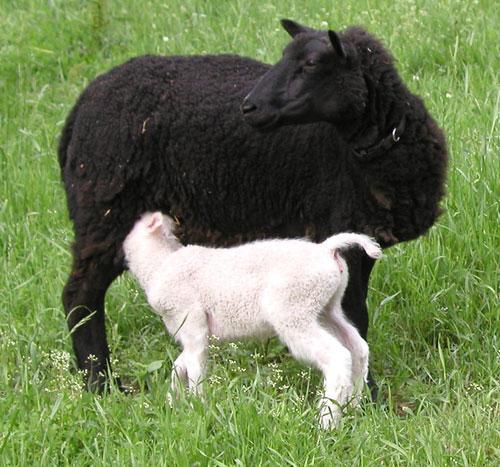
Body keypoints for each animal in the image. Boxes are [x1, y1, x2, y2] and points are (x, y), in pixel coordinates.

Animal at [59, 21, 450, 394]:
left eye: (311, 64)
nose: (248, 107)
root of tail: (80, 105)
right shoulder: (338, 230)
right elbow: (357, 317)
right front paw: (369, 394)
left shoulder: (361, 240)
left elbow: (353, 322)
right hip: (103, 212)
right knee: (80, 296)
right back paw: (100, 382)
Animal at [123, 212, 380, 428]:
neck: (158, 266)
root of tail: (326, 249)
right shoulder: (190, 332)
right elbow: (179, 365)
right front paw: (173, 403)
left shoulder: (193, 323)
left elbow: (194, 369)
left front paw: (197, 408)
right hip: (327, 308)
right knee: (357, 347)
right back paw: (353, 406)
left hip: (294, 310)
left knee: (338, 356)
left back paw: (327, 422)